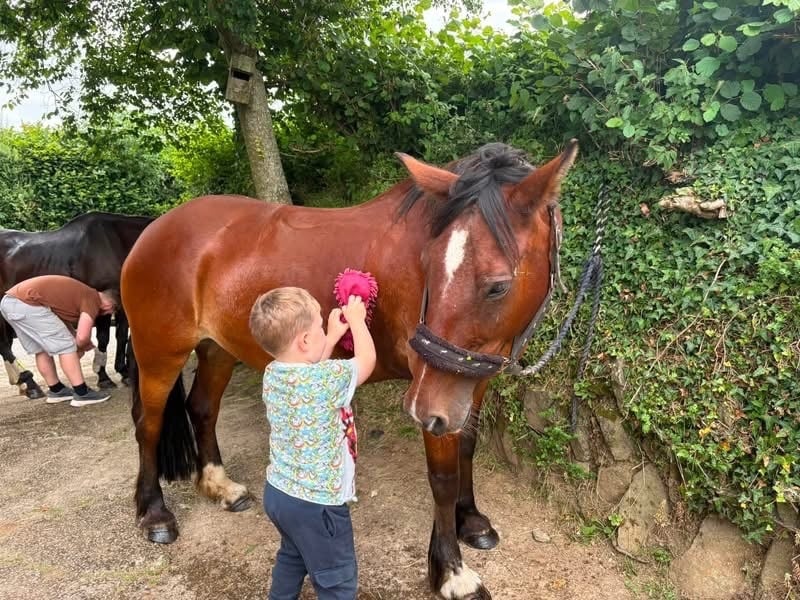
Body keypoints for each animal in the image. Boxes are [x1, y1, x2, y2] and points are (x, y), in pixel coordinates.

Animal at [0, 212, 155, 398]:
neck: (116, 243)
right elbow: (104, 338)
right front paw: (104, 378)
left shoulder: (123, 305)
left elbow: (122, 336)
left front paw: (124, 373)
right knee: (2, 343)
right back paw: (29, 384)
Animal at [121, 140, 578, 599]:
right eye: (428, 268)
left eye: (498, 286)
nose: (419, 408)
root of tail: (153, 230)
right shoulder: (434, 392)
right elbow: (443, 477)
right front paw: (451, 571)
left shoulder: (467, 384)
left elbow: (467, 446)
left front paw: (471, 520)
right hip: (160, 354)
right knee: (149, 424)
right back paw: (154, 513)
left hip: (217, 350)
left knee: (202, 409)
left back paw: (220, 486)